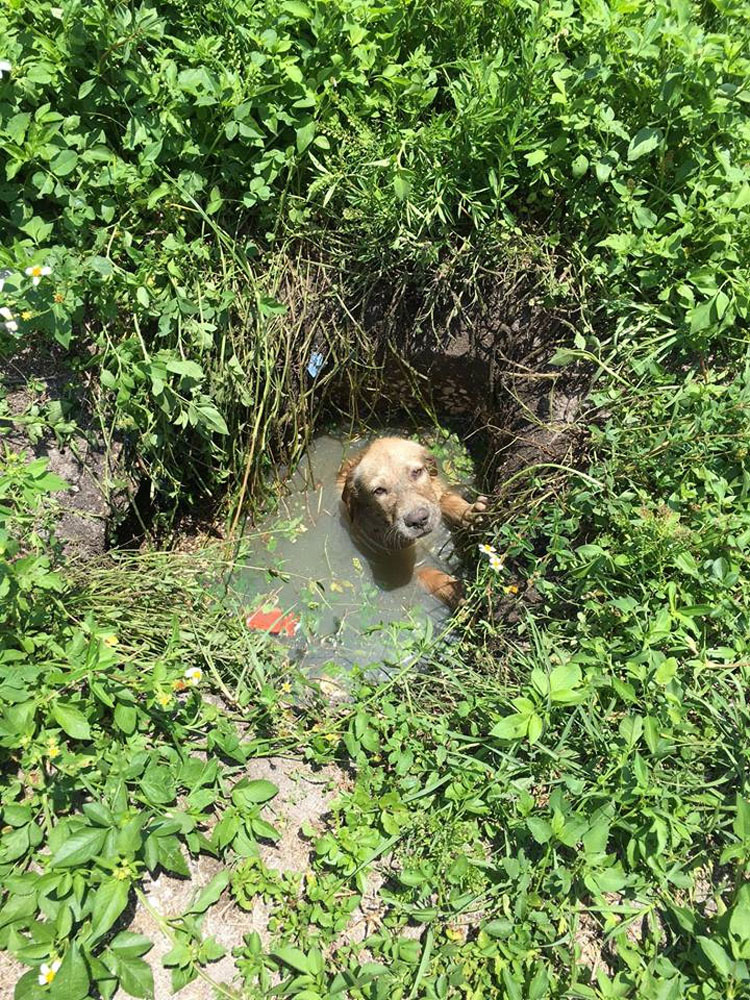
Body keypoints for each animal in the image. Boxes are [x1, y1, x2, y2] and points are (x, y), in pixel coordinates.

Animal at [336, 440, 488, 608]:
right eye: (379, 491)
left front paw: (470, 512)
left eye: (416, 472)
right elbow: (428, 573)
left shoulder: (438, 492)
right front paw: (455, 590)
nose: (419, 520)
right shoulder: (401, 564)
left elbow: (447, 500)